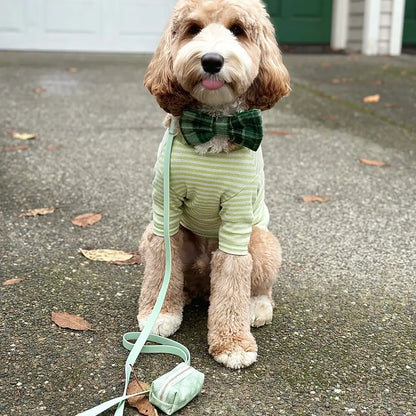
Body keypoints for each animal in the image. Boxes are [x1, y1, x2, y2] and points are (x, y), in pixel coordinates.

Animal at [136, 0, 290, 370]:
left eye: (238, 29)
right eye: (193, 29)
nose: (211, 60)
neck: (213, 125)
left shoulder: (237, 219)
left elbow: (234, 275)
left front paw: (232, 343)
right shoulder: (164, 212)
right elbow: (162, 266)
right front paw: (159, 314)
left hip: (263, 241)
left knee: (255, 286)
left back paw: (256, 308)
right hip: (153, 236)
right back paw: (184, 295)